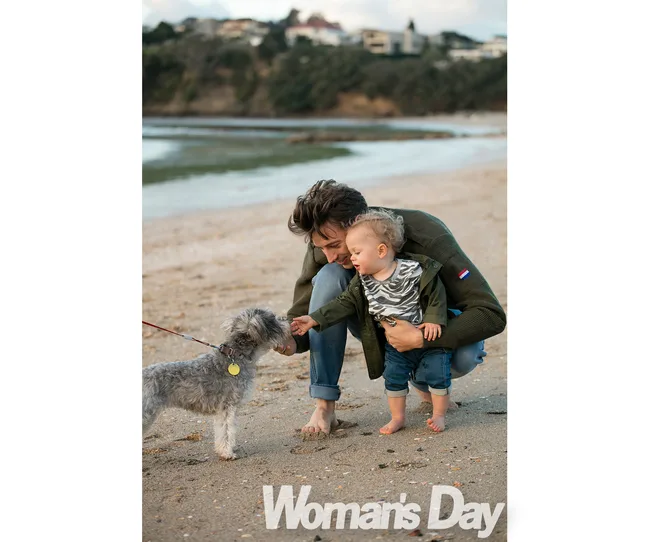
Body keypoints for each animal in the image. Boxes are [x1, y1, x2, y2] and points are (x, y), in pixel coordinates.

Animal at [142, 307, 290, 460]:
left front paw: (222, 450)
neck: (236, 356)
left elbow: (221, 431)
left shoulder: (221, 411)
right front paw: (227, 453)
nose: (287, 319)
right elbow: (227, 431)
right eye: (274, 318)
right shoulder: (228, 406)